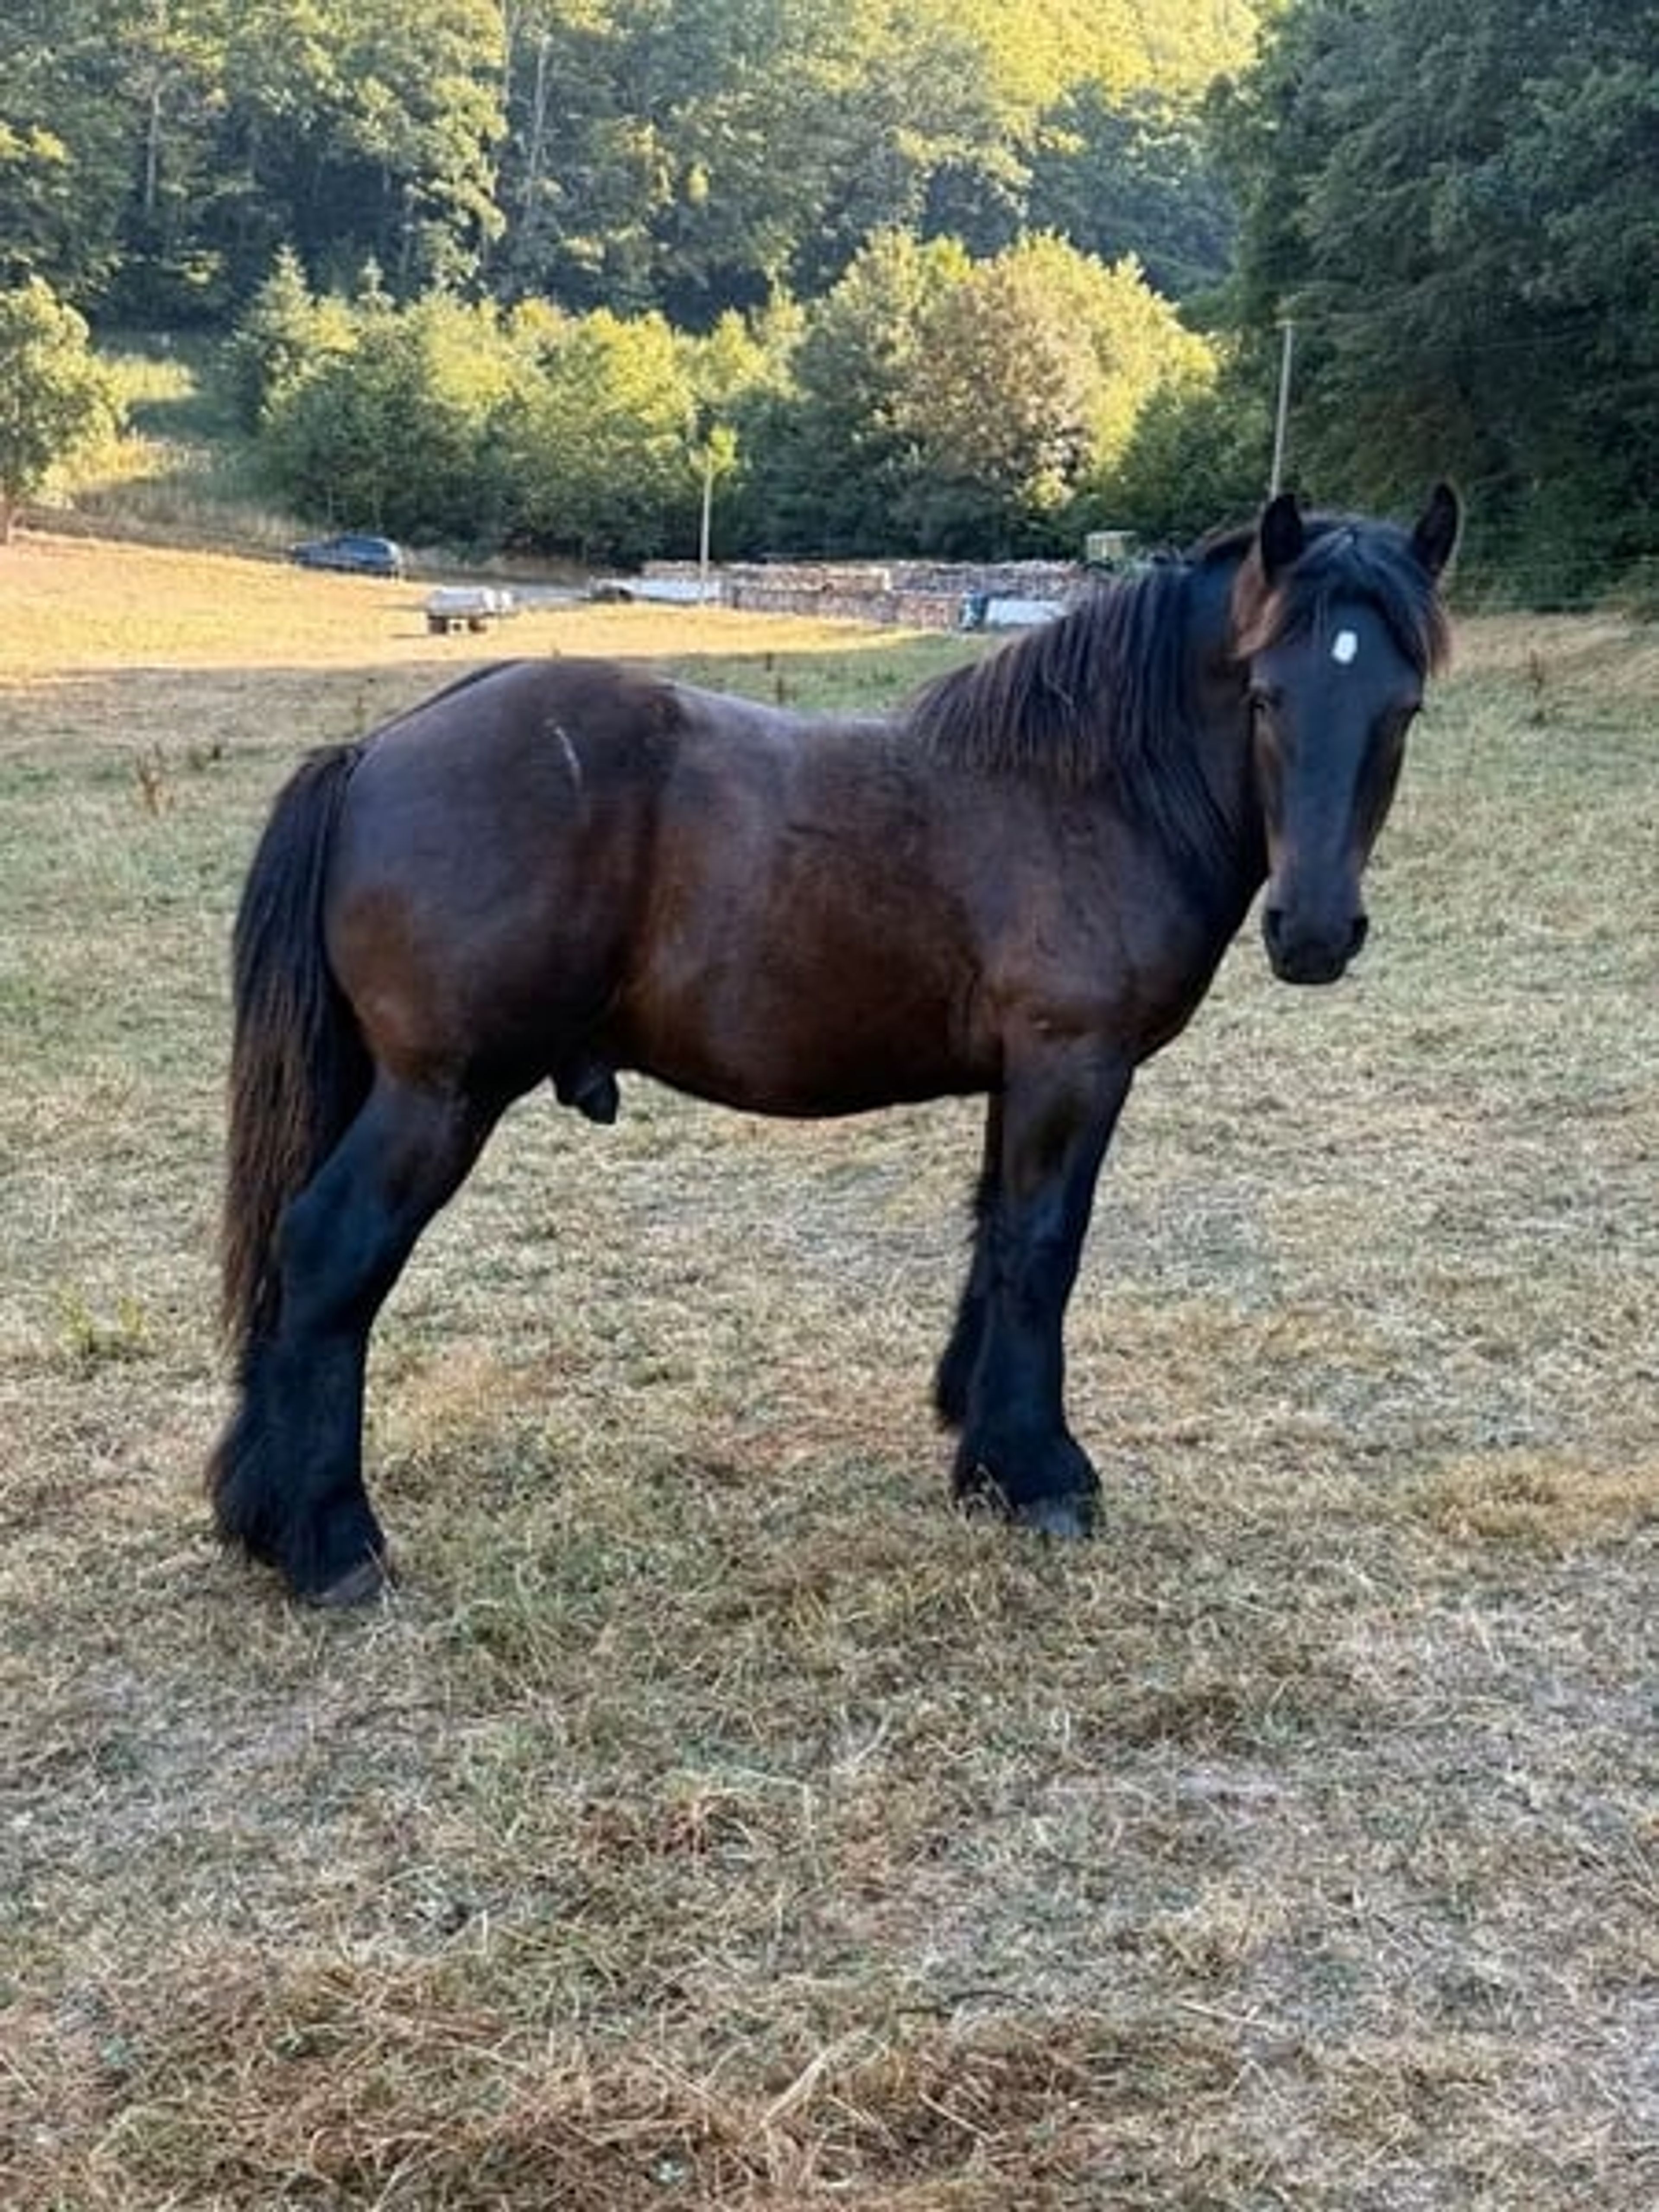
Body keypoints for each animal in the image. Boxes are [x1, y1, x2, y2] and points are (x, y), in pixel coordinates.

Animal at [208, 485, 1460, 1605]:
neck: (1091, 789)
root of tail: (374, 753)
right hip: (441, 1095)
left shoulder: (1023, 1076)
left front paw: (978, 1438)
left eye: (1402, 707)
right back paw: (331, 1543)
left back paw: (260, 1513)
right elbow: (1043, 1248)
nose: (1312, 932)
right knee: (329, 1253)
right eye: (1266, 696)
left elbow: (995, 1236)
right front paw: (1041, 1474)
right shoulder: (1074, 1065)